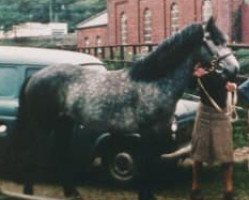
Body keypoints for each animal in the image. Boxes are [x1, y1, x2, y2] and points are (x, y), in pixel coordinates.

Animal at [12, 17, 238, 200]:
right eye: (214, 41)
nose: (234, 69)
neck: (153, 81)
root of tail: (36, 76)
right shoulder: (149, 132)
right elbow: (147, 163)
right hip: (42, 126)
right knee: (33, 153)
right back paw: (29, 192)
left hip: (63, 125)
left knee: (59, 154)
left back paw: (71, 192)